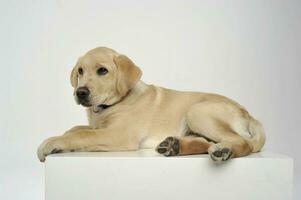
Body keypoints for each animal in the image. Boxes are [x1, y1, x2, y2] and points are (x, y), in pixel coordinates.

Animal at [36, 47, 264, 162]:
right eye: (80, 71)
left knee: (242, 143)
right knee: (204, 142)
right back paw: (175, 146)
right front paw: (66, 134)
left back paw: (224, 150)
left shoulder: (117, 135)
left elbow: (83, 134)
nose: (80, 92)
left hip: (197, 110)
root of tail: (249, 114)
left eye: (102, 70)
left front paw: (52, 142)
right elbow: (77, 129)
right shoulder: (101, 127)